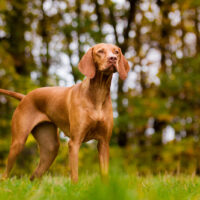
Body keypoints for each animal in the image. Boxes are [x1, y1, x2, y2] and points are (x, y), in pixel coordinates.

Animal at [0, 43, 130, 182]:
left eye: (116, 52)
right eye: (100, 51)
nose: (113, 59)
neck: (98, 94)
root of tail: (25, 97)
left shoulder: (104, 143)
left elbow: (104, 174)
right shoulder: (74, 142)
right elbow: (75, 175)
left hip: (50, 148)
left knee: (34, 176)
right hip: (18, 142)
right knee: (5, 174)